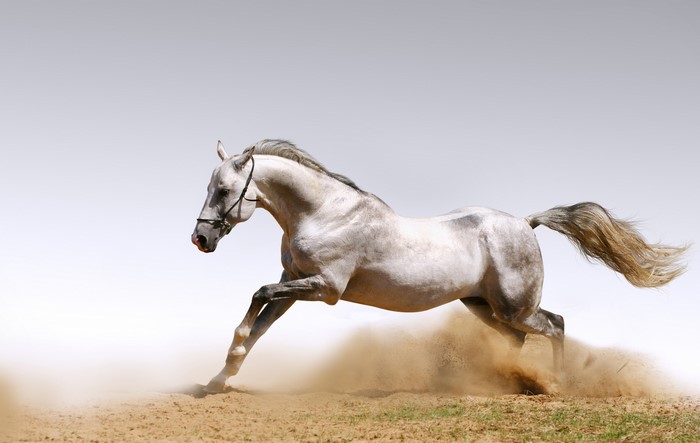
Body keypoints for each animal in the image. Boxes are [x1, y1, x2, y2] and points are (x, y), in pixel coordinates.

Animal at [192, 139, 688, 393]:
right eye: (211, 187)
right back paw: (506, 382)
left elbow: (256, 298)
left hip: (515, 306)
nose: (200, 239)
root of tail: (526, 223)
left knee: (556, 324)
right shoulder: (294, 281)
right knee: (519, 339)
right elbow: (260, 324)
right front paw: (219, 379)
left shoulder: (324, 288)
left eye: (224, 190)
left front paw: (225, 366)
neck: (324, 213)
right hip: (482, 305)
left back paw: (557, 384)